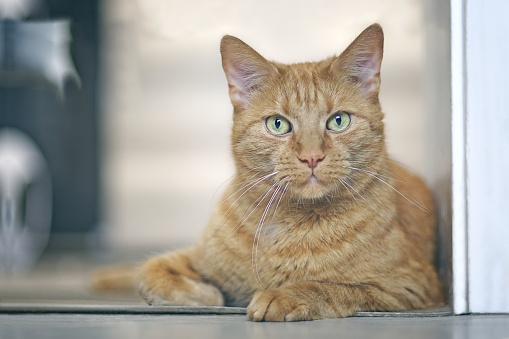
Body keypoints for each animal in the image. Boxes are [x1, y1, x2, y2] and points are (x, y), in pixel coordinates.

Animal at [133, 23, 442, 322]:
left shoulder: (408, 284)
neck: (291, 224)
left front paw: (281, 295)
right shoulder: (194, 257)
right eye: (278, 124)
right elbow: (149, 272)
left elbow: (333, 286)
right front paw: (207, 294)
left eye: (339, 121)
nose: (311, 157)